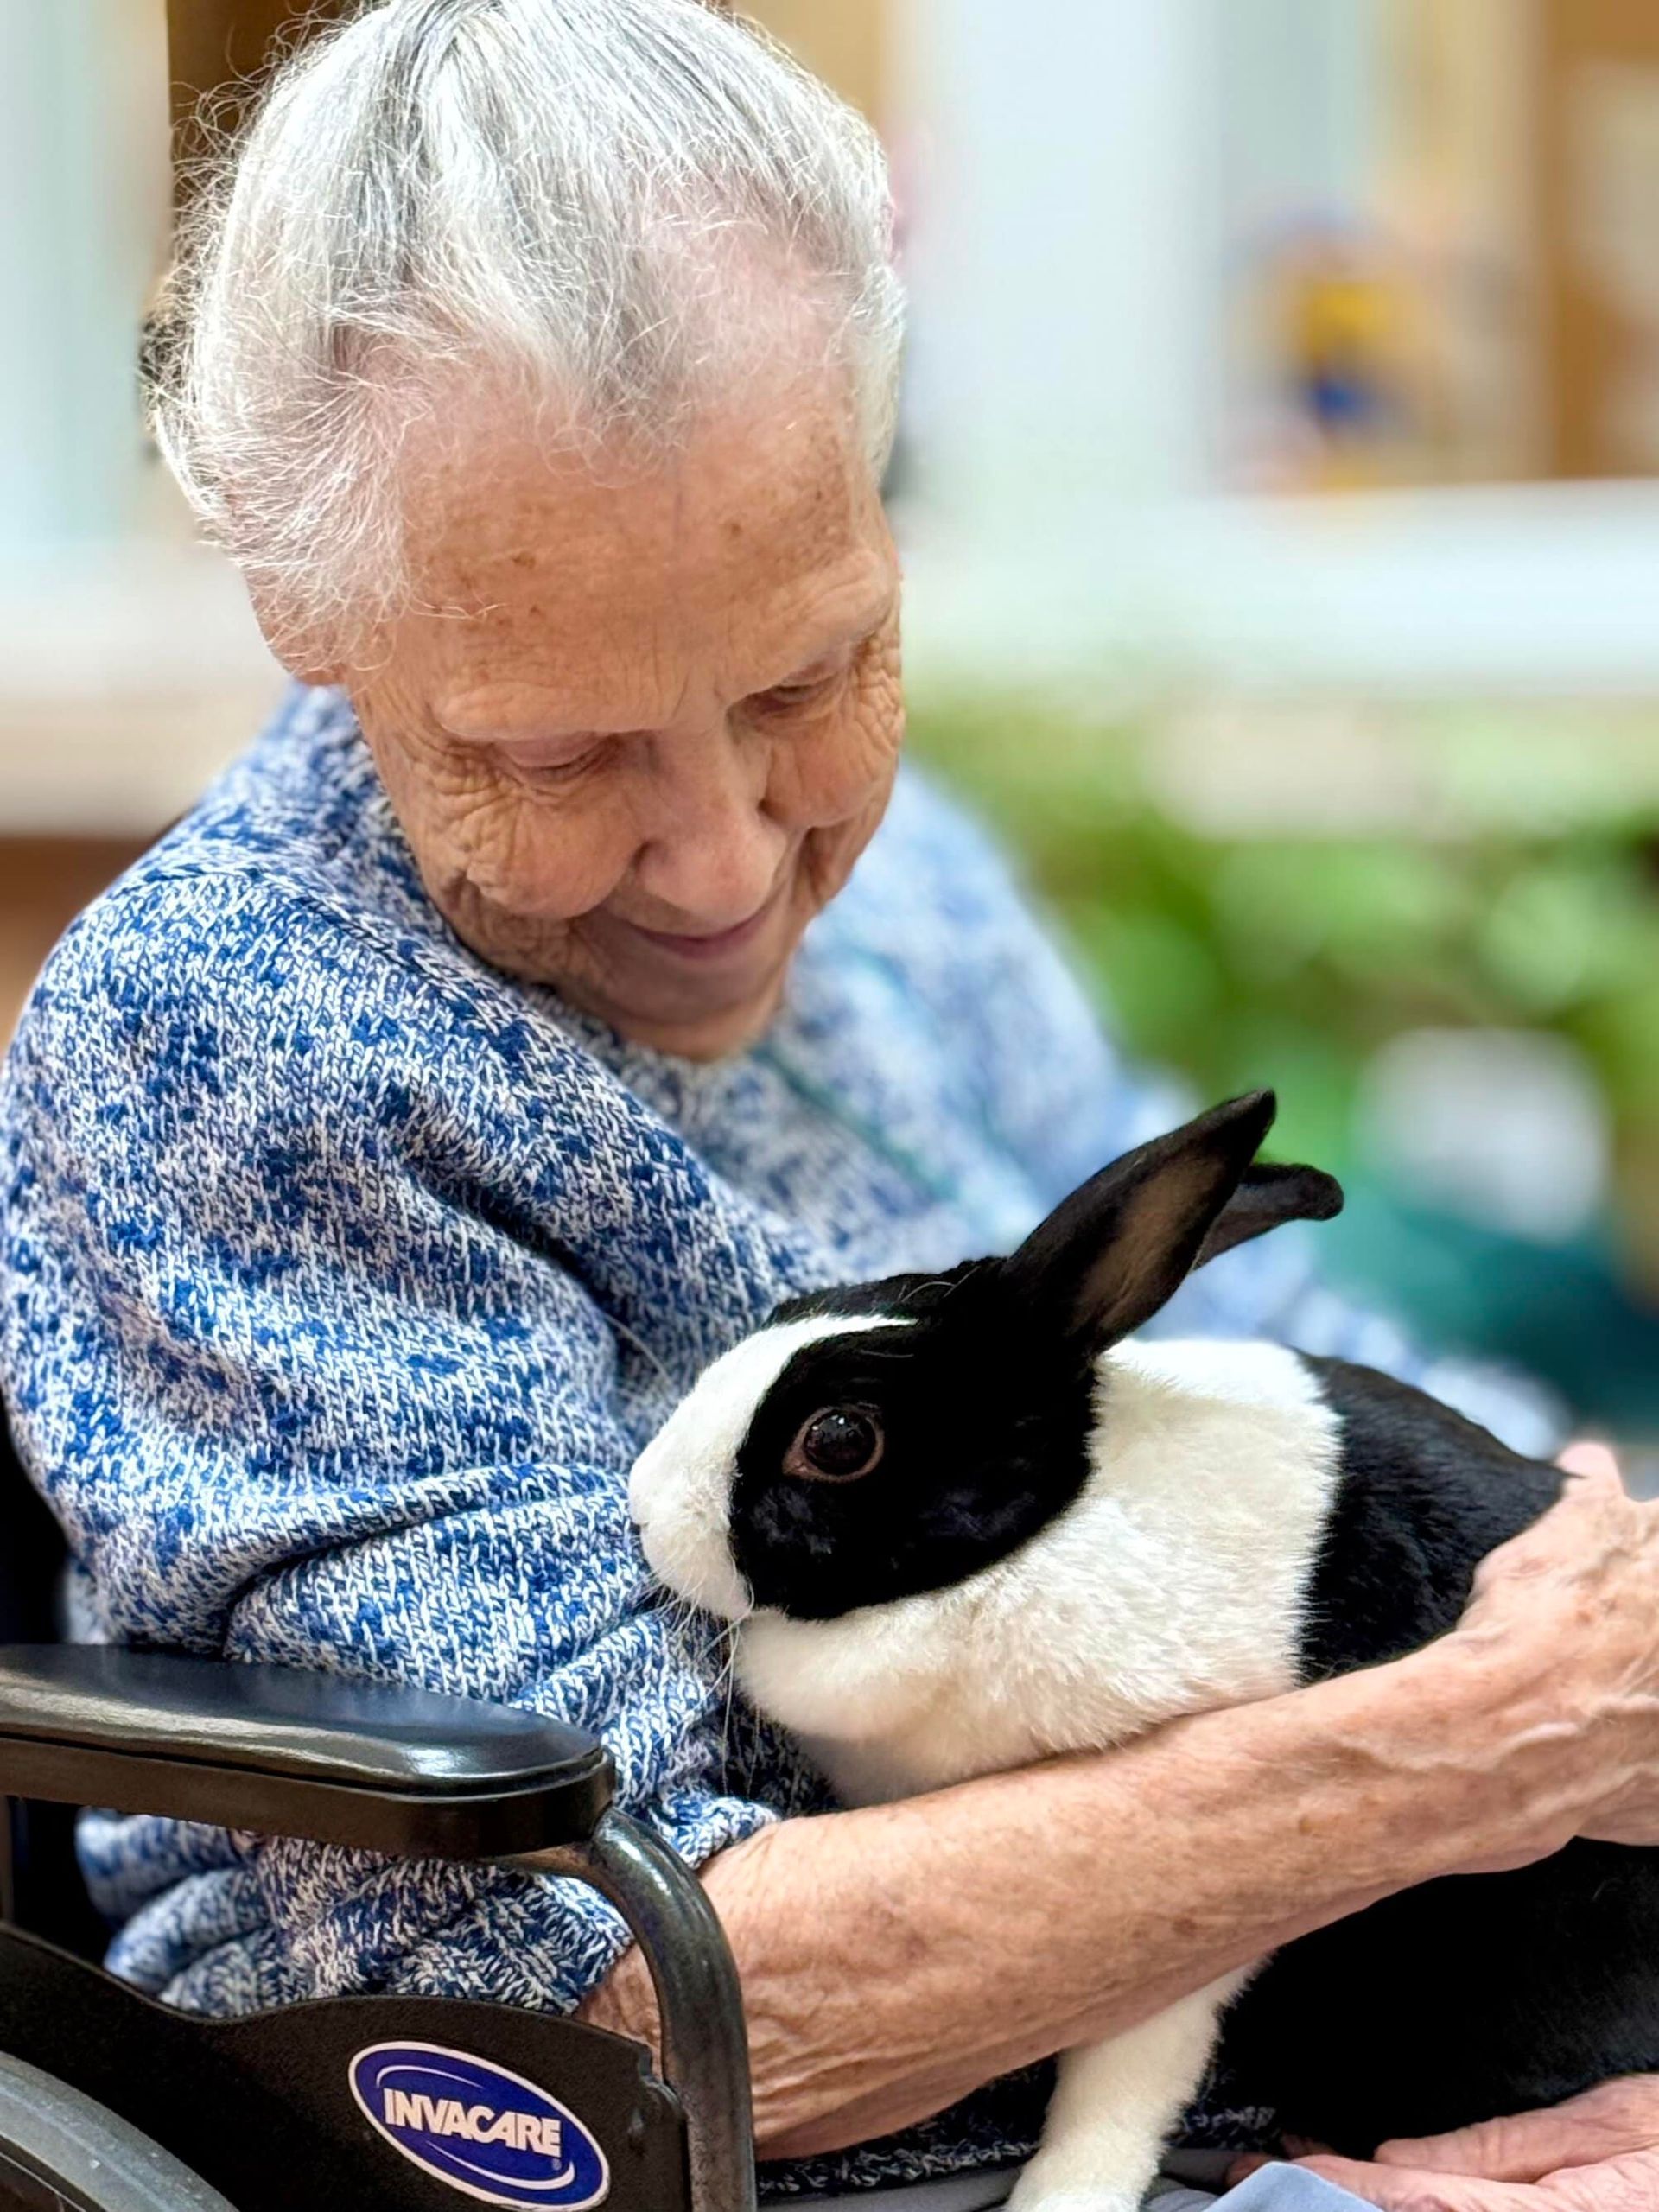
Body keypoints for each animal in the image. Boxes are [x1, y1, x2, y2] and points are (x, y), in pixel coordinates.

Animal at [628, 1090, 1659, 2212]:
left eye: (840, 1437)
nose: (640, 1505)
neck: (1036, 1534)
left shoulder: (1205, 1928)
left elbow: (1119, 2088)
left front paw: (1062, 2198)